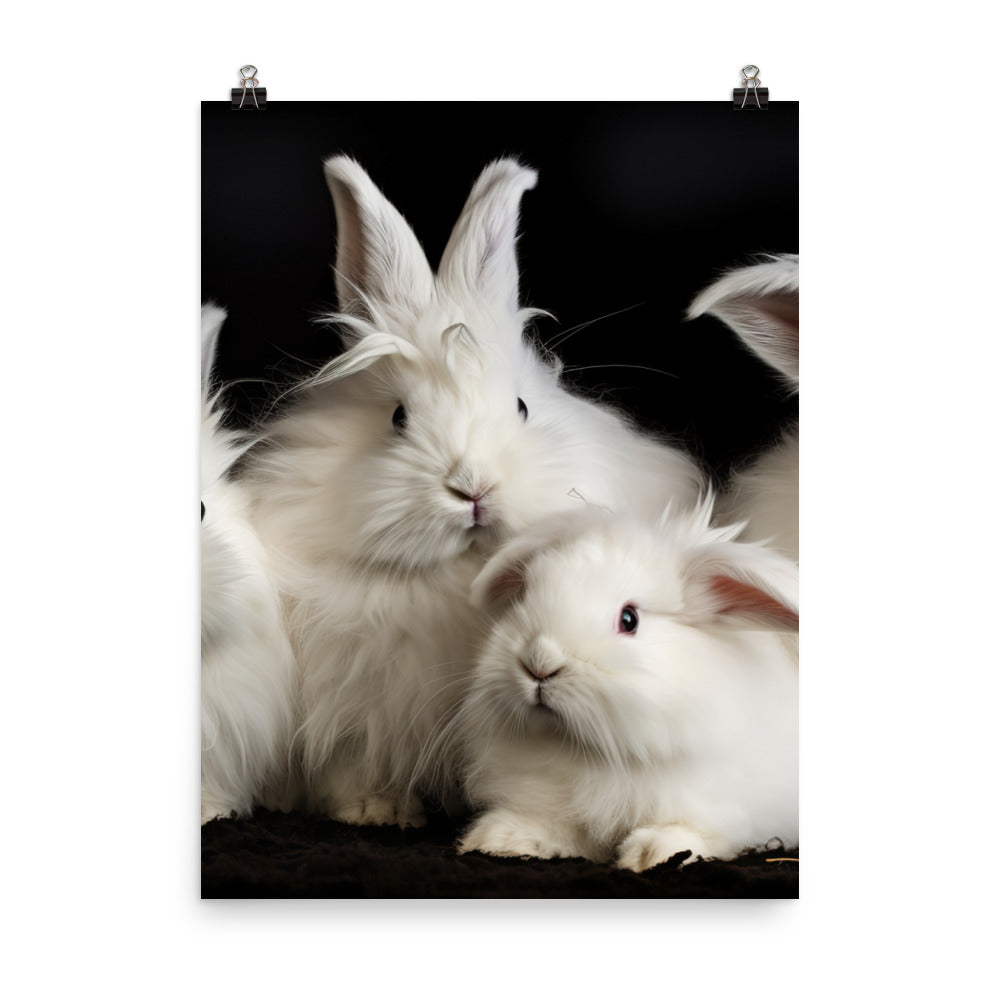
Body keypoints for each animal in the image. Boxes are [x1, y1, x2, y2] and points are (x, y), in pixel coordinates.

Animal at [244, 156, 705, 828]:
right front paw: (373, 808)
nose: (473, 487)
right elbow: (348, 763)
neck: (458, 576)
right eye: (398, 418)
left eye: (521, 407)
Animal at [455, 498, 799, 870]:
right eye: (526, 596)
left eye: (629, 619)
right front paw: (501, 839)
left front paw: (653, 853)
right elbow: (551, 824)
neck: (593, 753)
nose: (539, 662)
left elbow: (695, 830)